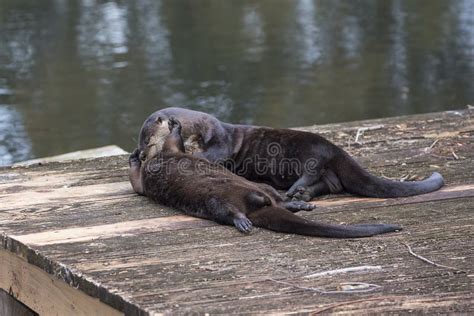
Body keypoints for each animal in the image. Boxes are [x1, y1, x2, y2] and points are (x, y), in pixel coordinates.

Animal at [129, 117, 400, 238]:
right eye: (156, 121)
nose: (165, 118)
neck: (158, 155)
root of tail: (255, 202)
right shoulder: (161, 159)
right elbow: (138, 184)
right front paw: (134, 157)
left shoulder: (172, 152)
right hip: (213, 200)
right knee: (228, 211)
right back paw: (243, 222)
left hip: (260, 185)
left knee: (277, 200)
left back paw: (299, 203)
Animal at [136, 107, 444, 201]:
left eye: (146, 138)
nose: (139, 153)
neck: (199, 132)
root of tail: (335, 149)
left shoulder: (219, 141)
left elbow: (210, 157)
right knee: (331, 185)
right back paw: (302, 194)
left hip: (309, 153)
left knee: (313, 172)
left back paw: (296, 190)